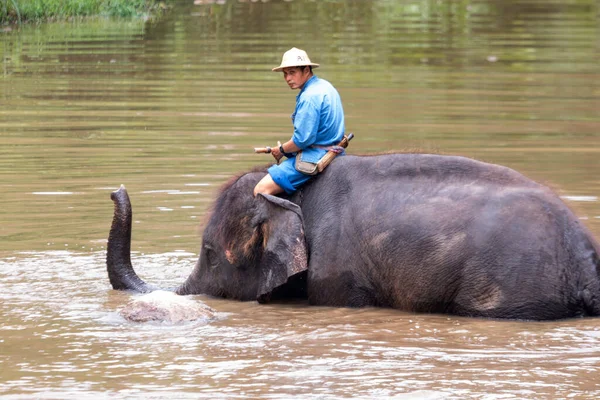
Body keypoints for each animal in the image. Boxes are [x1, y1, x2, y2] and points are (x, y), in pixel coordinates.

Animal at [106, 152, 600, 320]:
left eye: (209, 253)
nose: (115, 188)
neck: (292, 195)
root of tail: (586, 261)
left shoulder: (338, 272)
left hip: (515, 292)